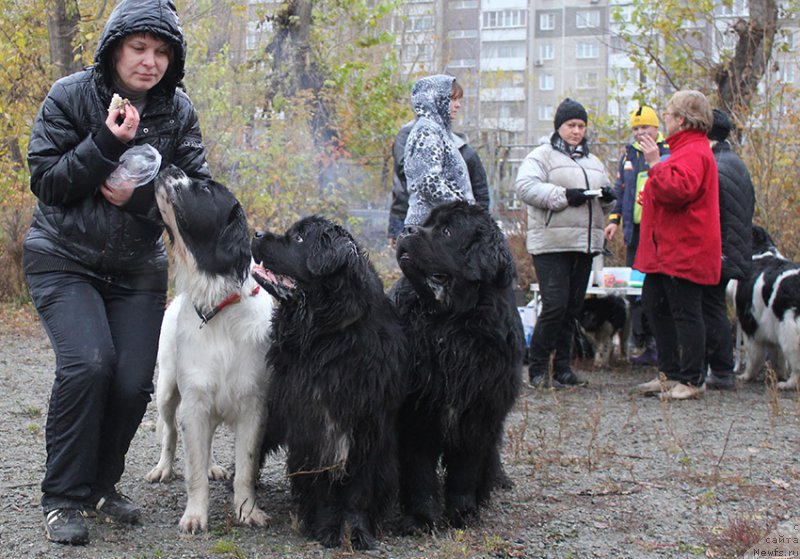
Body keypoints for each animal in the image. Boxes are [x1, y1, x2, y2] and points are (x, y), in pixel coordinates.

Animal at [147, 165, 276, 532]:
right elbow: (192, 467)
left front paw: (247, 510)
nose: (170, 166)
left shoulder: (254, 406)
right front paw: (195, 514)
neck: (218, 306)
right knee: (170, 432)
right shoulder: (195, 401)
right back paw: (164, 467)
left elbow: (245, 466)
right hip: (166, 389)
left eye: (205, 188)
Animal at [250, 215, 406, 552]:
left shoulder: (369, 428)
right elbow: (321, 483)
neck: (330, 336)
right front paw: (326, 527)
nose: (256, 233)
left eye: (298, 239)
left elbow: (360, 490)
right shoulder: (314, 423)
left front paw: (358, 531)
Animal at [392, 202, 524, 532]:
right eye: (425, 223)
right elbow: (420, 471)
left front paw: (463, 513)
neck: (449, 328)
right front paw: (420, 517)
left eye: (448, 231)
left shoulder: (479, 412)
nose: (407, 229)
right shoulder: (417, 413)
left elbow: (466, 469)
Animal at [732, 225, 800, 392]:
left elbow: (753, 355)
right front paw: (780, 373)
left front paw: (746, 376)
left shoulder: (750, 324)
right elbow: (778, 356)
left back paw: (788, 384)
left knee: (796, 365)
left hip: (789, 332)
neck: (761, 252)